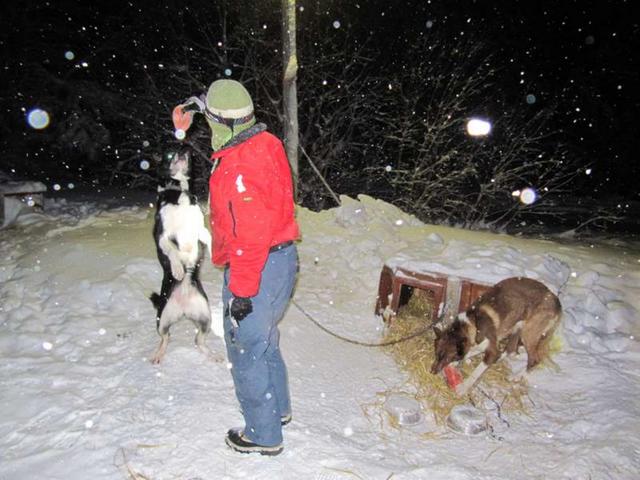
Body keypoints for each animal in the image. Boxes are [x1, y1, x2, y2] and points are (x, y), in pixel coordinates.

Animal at [150, 148, 215, 362]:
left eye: (186, 150)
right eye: (169, 153)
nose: (182, 150)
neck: (179, 190)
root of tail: (184, 309)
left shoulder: (200, 229)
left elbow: (210, 238)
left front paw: (214, 255)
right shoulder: (162, 235)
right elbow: (172, 250)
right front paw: (178, 269)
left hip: (205, 317)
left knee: (198, 341)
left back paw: (212, 355)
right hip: (162, 320)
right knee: (165, 338)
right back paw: (158, 354)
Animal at [430, 276, 560, 396]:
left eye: (447, 358)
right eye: (436, 354)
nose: (432, 372)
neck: (473, 324)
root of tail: (556, 301)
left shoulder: (491, 350)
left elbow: (476, 372)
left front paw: (463, 387)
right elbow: (469, 353)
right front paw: (457, 363)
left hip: (527, 334)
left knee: (534, 359)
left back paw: (516, 377)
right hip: (516, 328)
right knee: (511, 349)